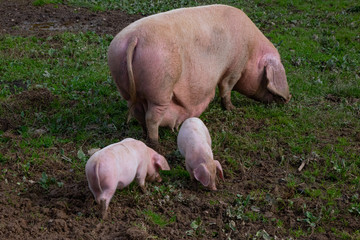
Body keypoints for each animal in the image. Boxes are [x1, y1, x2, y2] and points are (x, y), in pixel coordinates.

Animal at [108, 4, 292, 144]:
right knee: (151, 118)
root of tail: (134, 39)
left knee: (139, 114)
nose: (288, 98)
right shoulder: (235, 67)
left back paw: (145, 137)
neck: (252, 50)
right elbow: (226, 87)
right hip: (160, 89)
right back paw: (155, 144)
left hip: (126, 87)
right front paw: (233, 109)